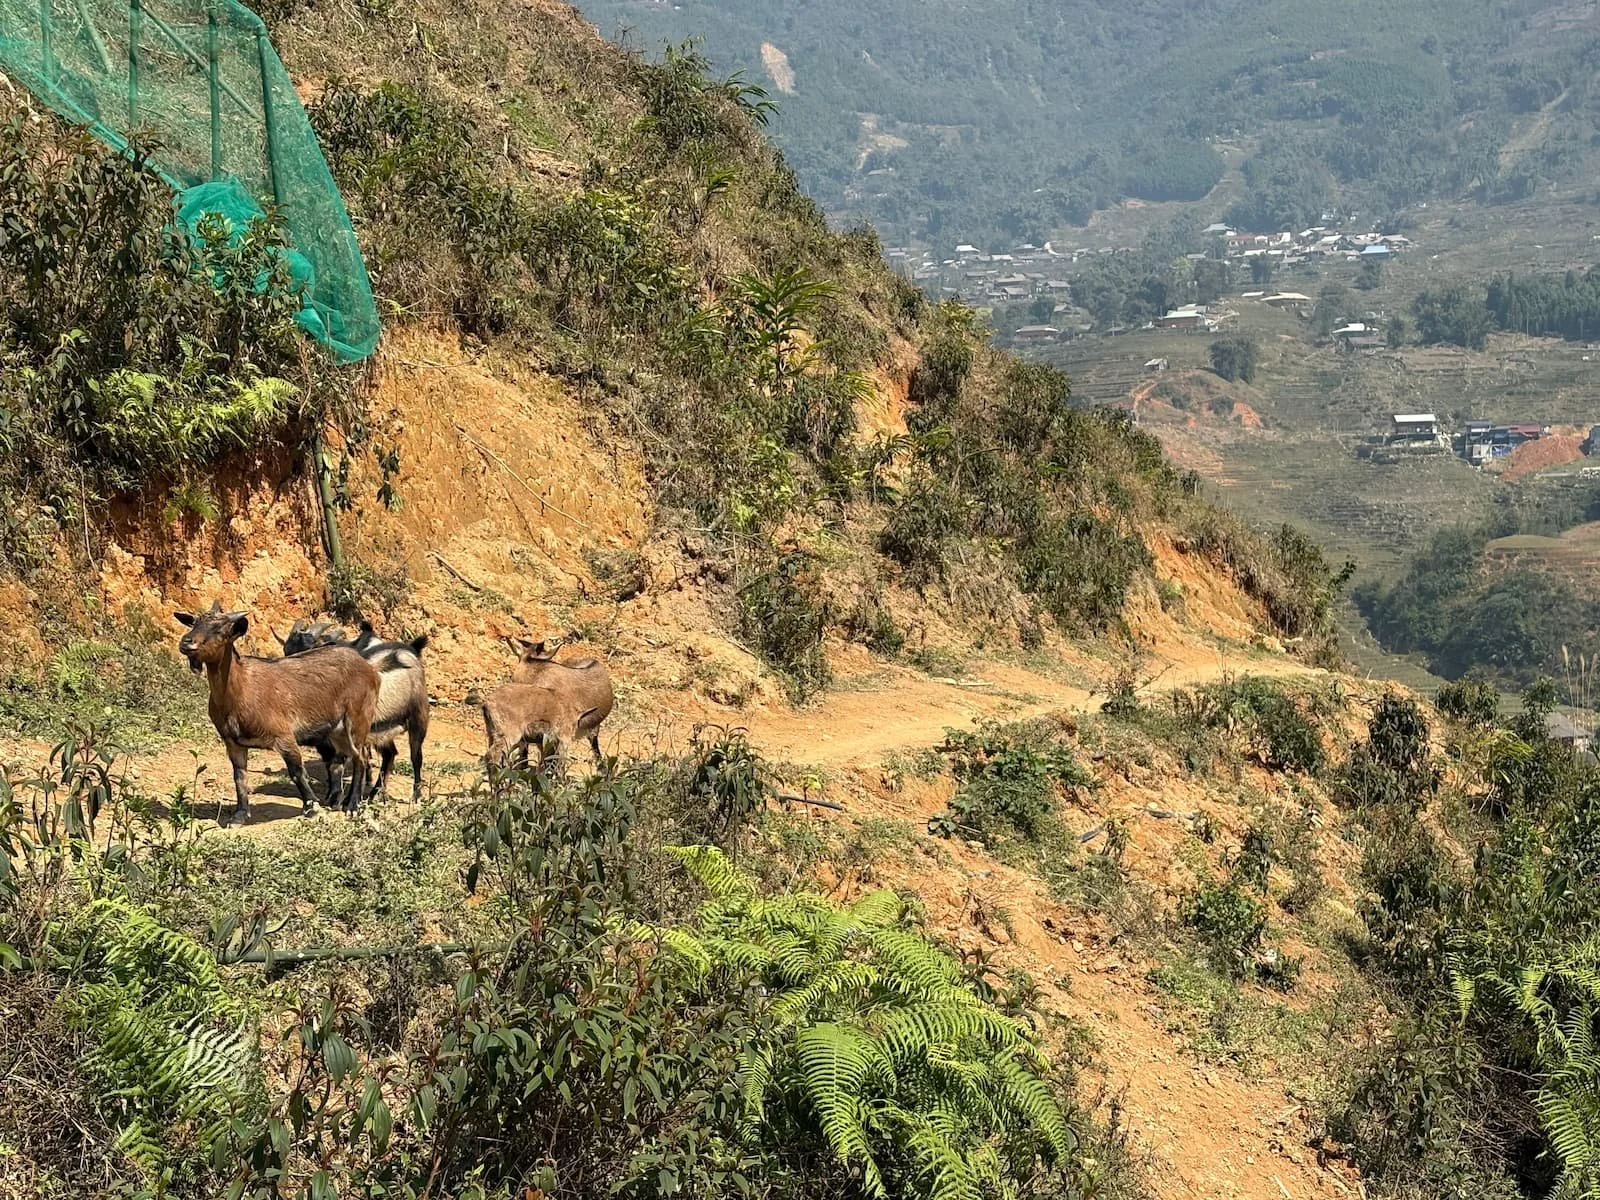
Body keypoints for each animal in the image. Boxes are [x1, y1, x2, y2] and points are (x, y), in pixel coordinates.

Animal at [176, 603, 378, 826]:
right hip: (336, 730)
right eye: (194, 622)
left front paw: (312, 808)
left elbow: (296, 771)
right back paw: (336, 801)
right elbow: (239, 776)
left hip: (357, 719)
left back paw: (352, 806)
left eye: (220, 629)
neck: (241, 690)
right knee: (342, 758)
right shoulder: (233, 742)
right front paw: (239, 815)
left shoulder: (284, 735)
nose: (186, 642)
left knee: (360, 758)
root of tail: (369, 669)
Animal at [279, 617, 431, 803]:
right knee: (390, 754)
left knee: (416, 757)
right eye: (286, 650)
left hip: (419, 718)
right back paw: (375, 793)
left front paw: (340, 799)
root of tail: (410, 649)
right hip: (382, 731)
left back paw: (416, 795)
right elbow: (332, 767)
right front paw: (331, 797)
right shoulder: (326, 744)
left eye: (312, 649)